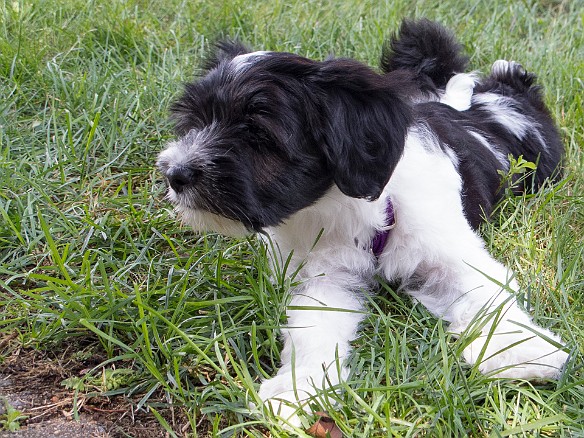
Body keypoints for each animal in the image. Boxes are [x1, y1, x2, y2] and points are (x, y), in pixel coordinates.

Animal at [157, 19, 568, 424]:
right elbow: (314, 326)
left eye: (256, 133)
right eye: (193, 121)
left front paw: (525, 349)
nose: (175, 173)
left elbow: (486, 292)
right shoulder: (325, 275)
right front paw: (297, 388)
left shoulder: (445, 246)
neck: (357, 208)